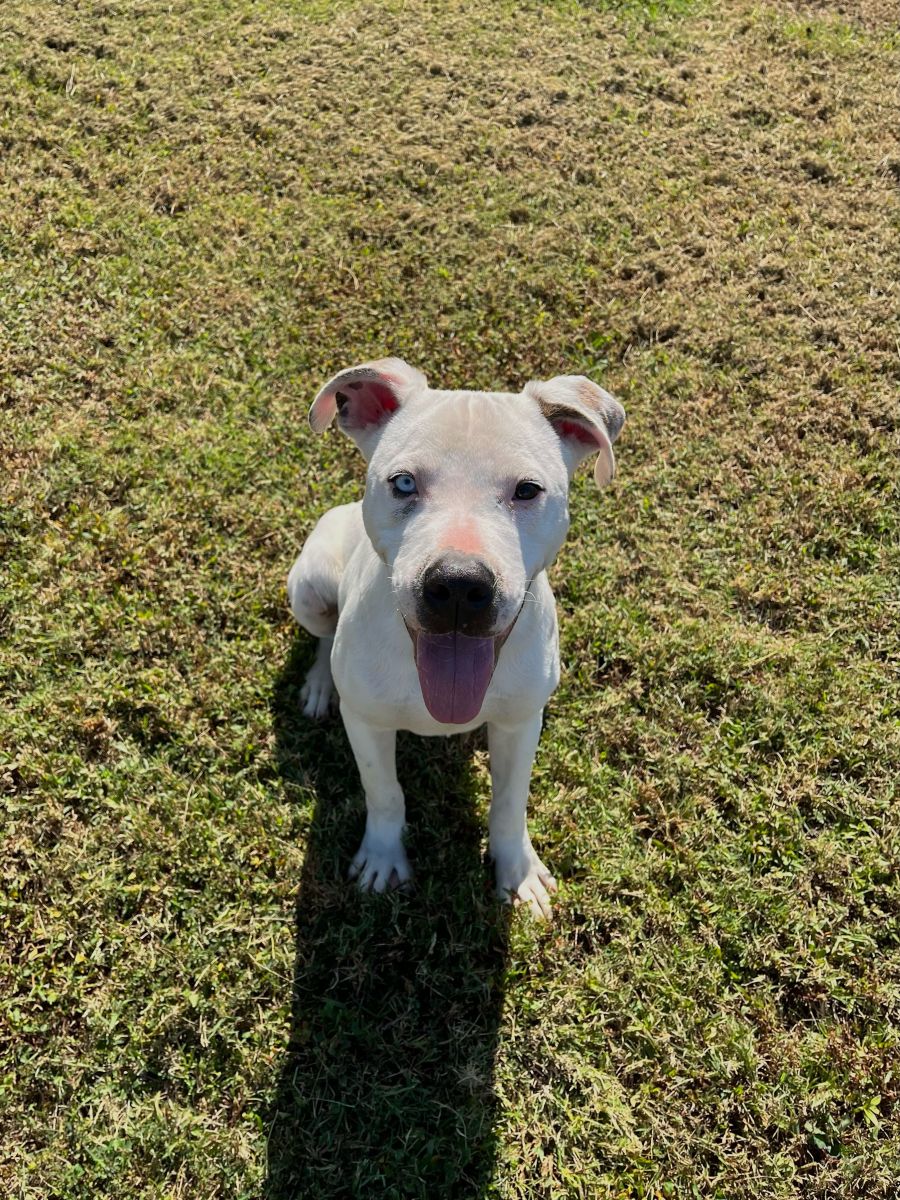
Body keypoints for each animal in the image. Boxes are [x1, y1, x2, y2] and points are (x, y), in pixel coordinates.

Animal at [289, 355, 628, 916]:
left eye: (527, 490)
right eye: (404, 483)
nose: (458, 585)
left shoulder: (520, 722)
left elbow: (510, 801)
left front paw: (518, 871)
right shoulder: (367, 723)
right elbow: (385, 792)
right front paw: (383, 858)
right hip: (308, 586)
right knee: (322, 637)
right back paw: (320, 685)